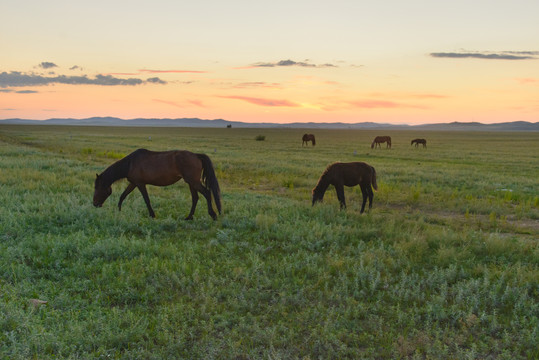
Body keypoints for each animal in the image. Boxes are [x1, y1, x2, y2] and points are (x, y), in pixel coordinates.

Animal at [93, 148, 221, 219]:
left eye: (97, 188)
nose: (95, 204)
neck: (129, 164)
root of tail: (196, 155)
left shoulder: (140, 184)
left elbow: (146, 200)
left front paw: (152, 215)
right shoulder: (133, 183)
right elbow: (123, 196)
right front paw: (119, 211)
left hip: (193, 182)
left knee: (207, 193)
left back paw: (213, 215)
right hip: (191, 183)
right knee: (195, 198)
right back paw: (189, 217)